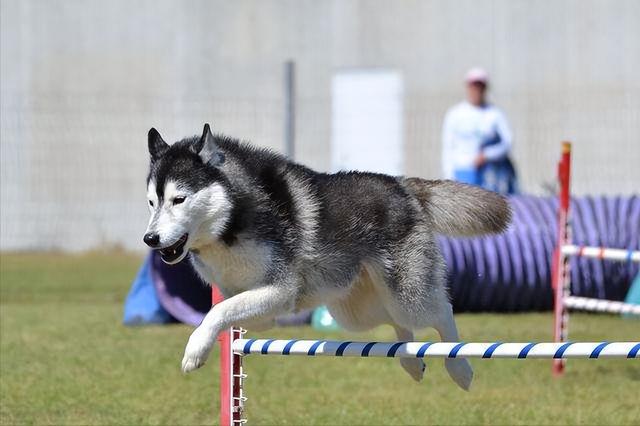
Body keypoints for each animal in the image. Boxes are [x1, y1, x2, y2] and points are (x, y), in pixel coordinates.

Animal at [144, 123, 510, 390]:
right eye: (152, 202)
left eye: (179, 199)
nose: (150, 239)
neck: (231, 221)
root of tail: (403, 185)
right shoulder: (258, 303)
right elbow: (229, 310)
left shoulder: (280, 290)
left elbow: (217, 311)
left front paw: (195, 350)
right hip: (355, 310)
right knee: (397, 322)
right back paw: (409, 360)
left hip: (408, 295)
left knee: (441, 312)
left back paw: (459, 368)